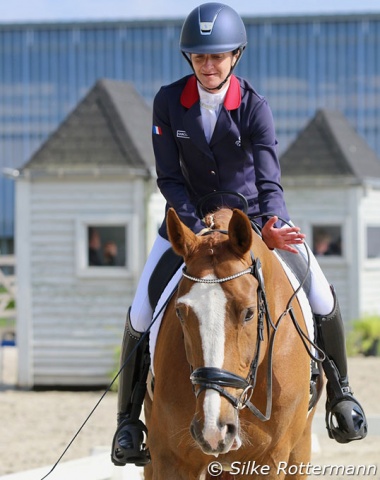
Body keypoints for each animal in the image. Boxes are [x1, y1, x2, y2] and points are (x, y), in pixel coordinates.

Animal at [144, 207, 322, 480]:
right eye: (180, 312)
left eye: (249, 313)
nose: (213, 429)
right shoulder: (170, 459)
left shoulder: (268, 461)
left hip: (299, 450)